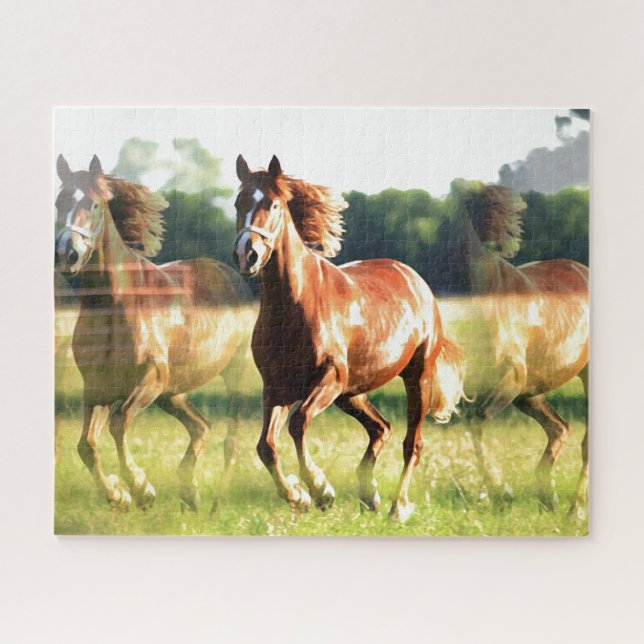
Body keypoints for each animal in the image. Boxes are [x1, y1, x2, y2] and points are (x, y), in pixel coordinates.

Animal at [54, 155, 252, 510]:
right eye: (58, 201)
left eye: (92, 204)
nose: (67, 254)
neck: (114, 303)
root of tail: (230, 274)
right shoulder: (97, 388)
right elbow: (86, 446)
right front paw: (118, 495)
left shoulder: (150, 379)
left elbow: (118, 423)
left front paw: (140, 488)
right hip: (173, 393)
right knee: (201, 427)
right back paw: (190, 493)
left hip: (233, 374)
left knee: (231, 442)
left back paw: (215, 504)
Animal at [232, 155, 466, 521]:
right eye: (238, 202)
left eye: (272, 204)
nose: (247, 254)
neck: (295, 305)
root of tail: (416, 281)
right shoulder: (276, 387)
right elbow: (265, 446)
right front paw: (298, 496)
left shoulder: (329, 377)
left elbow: (298, 423)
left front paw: (320, 489)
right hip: (352, 392)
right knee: (381, 428)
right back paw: (369, 495)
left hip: (415, 377)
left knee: (412, 443)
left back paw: (397, 506)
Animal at [444, 179, 589, 517]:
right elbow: (472, 425)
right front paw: (501, 493)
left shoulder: (510, 379)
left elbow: (477, 421)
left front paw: (501, 492)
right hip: (530, 394)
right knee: (559, 428)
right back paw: (549, 498)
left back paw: (575, 507)